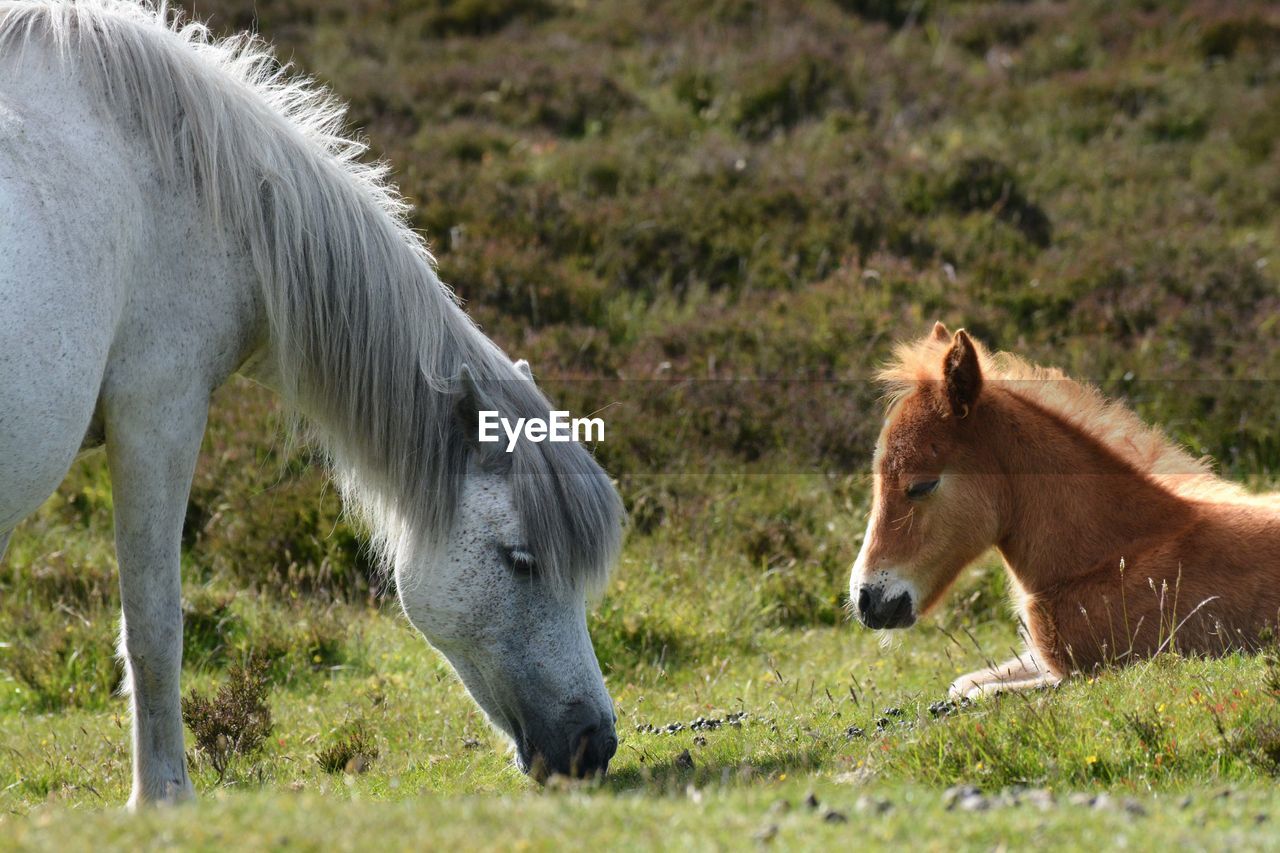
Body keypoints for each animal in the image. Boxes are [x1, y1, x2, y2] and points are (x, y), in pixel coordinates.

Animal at [0, 0, 624, 804]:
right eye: (521, 560)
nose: (594, 744)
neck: (171, 172)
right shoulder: (157, 413)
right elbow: (155, 625)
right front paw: (163, 796)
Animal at [849, 318, 1280, 696]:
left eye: (922, 485)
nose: (866, 600)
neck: (1114, 554)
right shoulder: (1039, 659)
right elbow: (963, 684)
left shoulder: (1092, 668)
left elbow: (972, 694)